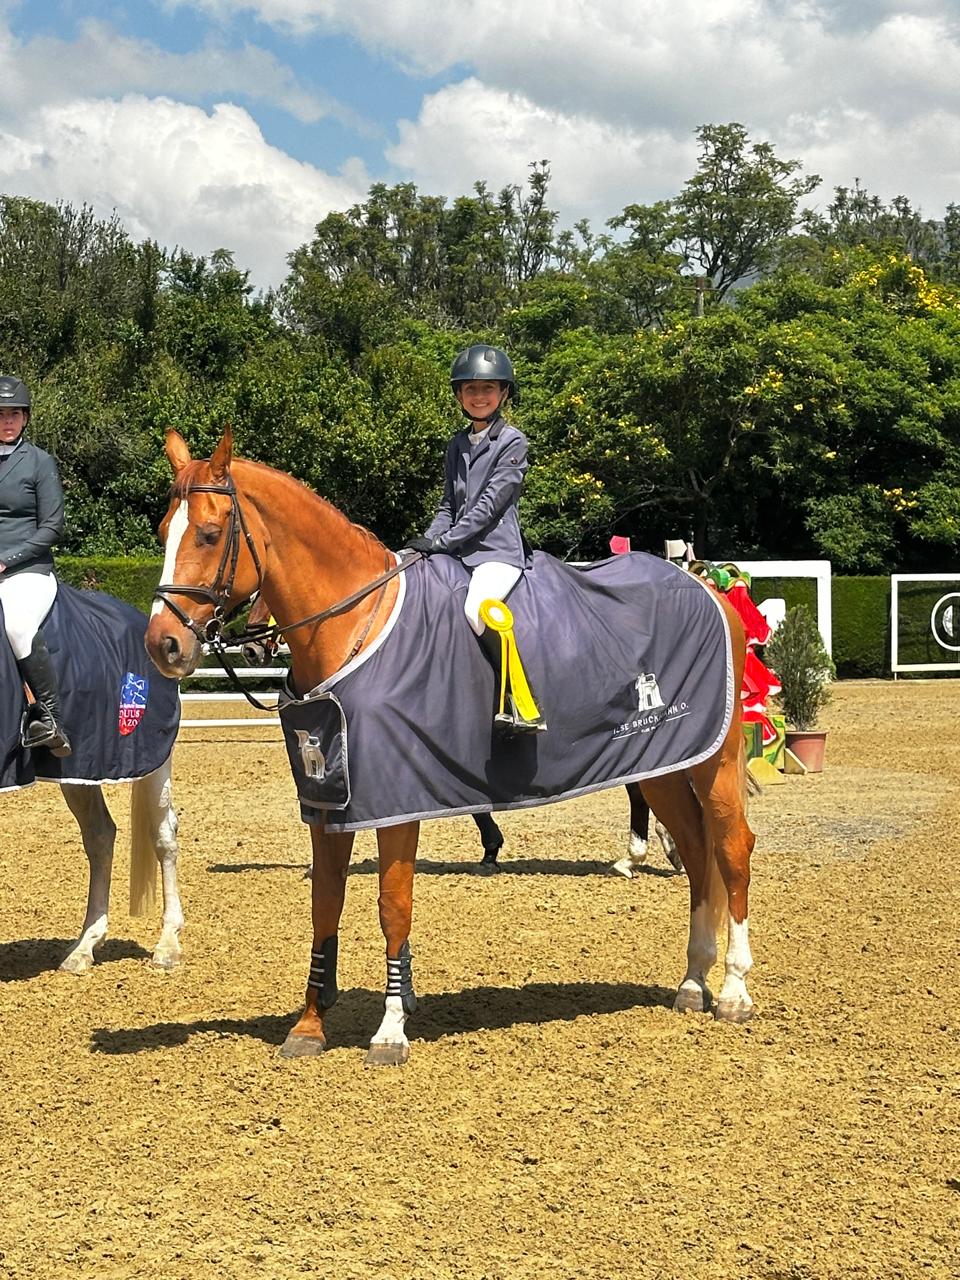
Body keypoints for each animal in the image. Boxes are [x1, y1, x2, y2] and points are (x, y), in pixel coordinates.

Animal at [146, 428, 756, 1064]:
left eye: (209, 533)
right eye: (164, 531)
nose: (163, 645)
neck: (355, 622)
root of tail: (707, 587)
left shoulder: (395, 803)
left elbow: (393, 906)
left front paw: (390, 1030)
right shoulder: (330, 803)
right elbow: (325, 905)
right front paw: (310, 1025)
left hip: (712, 760)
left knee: (731, 848)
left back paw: (734, 991)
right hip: (664, 764)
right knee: (696, 852)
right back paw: (692, 982)